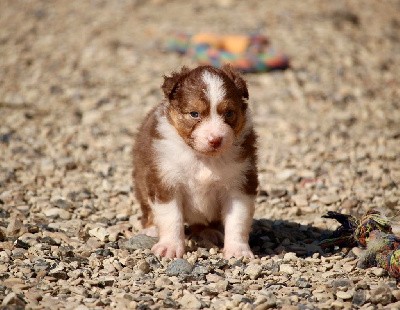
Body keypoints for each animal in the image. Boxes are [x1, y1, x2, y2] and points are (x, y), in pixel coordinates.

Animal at [133, 65, 258, 260]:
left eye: (229, 113)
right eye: (194, 114)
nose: (216, 140)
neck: (203, 158)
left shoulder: (240, 184)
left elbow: (238, 219)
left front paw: (238, 250)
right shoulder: (165, 181)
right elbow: (171, 218)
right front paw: (169, 247)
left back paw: (209, 232)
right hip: (141, 182)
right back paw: (151, 229)